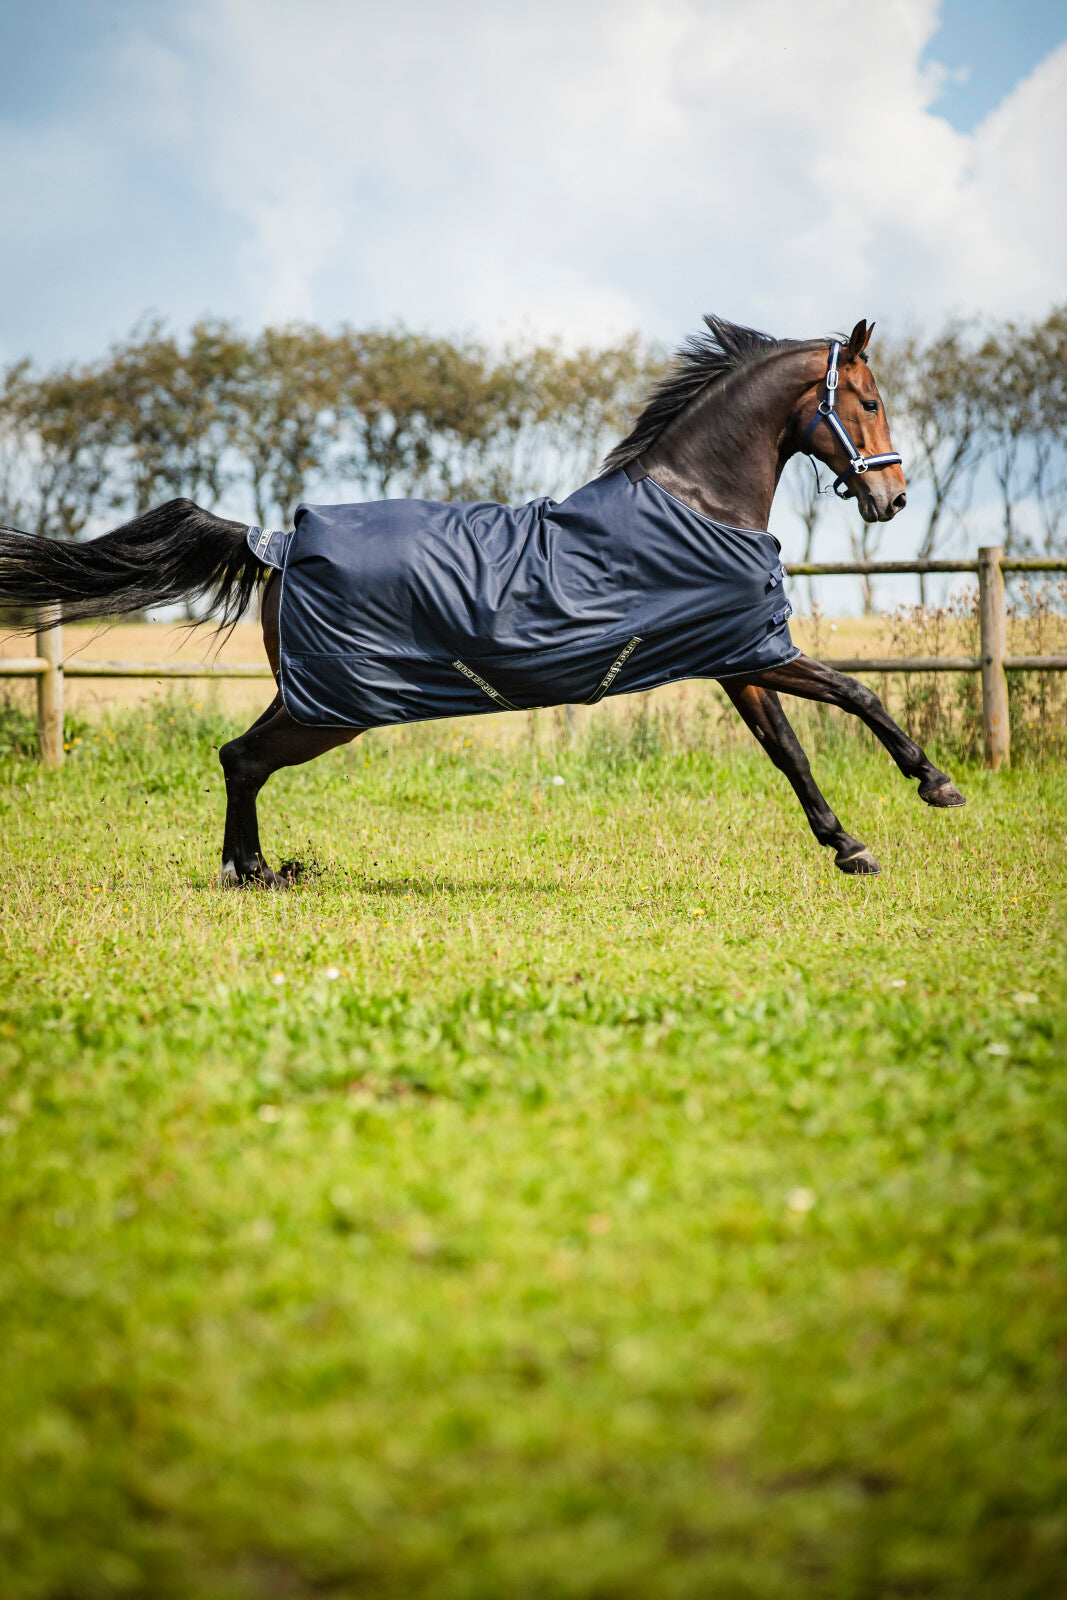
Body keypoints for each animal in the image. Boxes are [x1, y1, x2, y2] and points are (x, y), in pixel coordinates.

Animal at [0, 315, 964, 887]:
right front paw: (936, 786)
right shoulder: (758, 649)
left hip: (312, 699)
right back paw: (254, 873)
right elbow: (856, 692)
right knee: (243, 759)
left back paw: (258, 870)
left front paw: (848, 846)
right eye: (868, 400)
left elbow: (789, 751)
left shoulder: (735, 658)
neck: (698, 501)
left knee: (239, 758)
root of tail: (275, 541)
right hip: (330, 707)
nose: (892, 500)